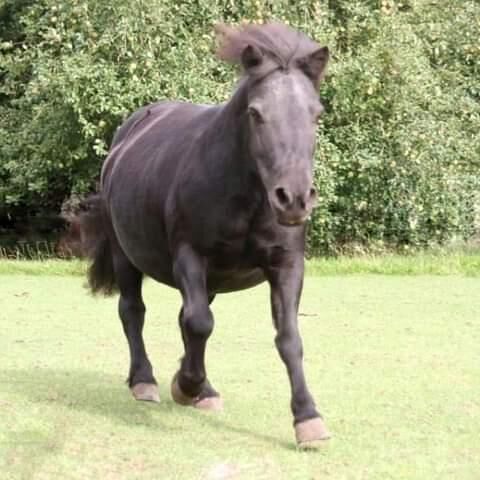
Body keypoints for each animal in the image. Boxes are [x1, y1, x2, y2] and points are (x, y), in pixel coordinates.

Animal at [80, 21, 332, 450]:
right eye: (255, 113)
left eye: (316, 115)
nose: (294, 198)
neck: (246, 195)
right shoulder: (190, 255)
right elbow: (199, 323)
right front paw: (185, 385)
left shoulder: (286, 264)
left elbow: (288, 338)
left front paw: (307, 418)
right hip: (125, 255)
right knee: (134, 311)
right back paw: (145, 381)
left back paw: (203, 389)